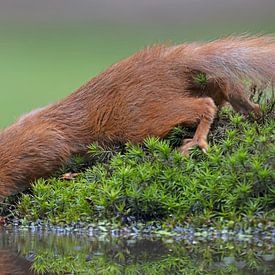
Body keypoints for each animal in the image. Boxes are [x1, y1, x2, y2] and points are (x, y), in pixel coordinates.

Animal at [0, 36, 275, 201]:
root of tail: (168, 60)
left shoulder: (41, 144)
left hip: (144, 118)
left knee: (205, 104)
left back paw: (196, 141)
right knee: (221, 87)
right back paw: (251, 109)